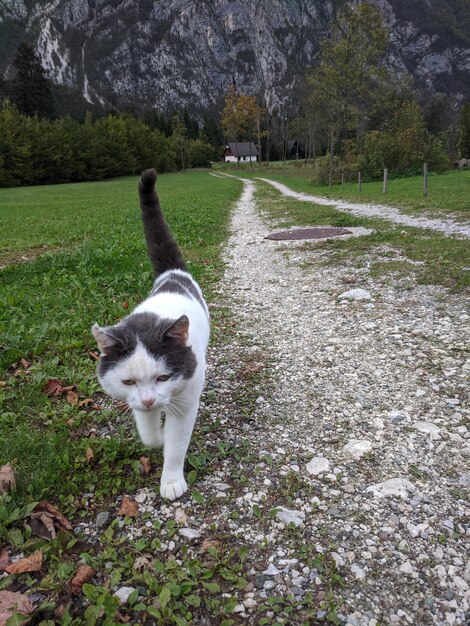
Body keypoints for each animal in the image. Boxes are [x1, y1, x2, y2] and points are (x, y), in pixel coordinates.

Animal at [92, 166, 209, 498]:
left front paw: (171, 481)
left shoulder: (185, 401)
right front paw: (156, 437)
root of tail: (171, 274)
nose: (148, 401)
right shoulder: (134, 401)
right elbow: (148, 433)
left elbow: (176, 444)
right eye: (129, 381)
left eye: (164, 377)